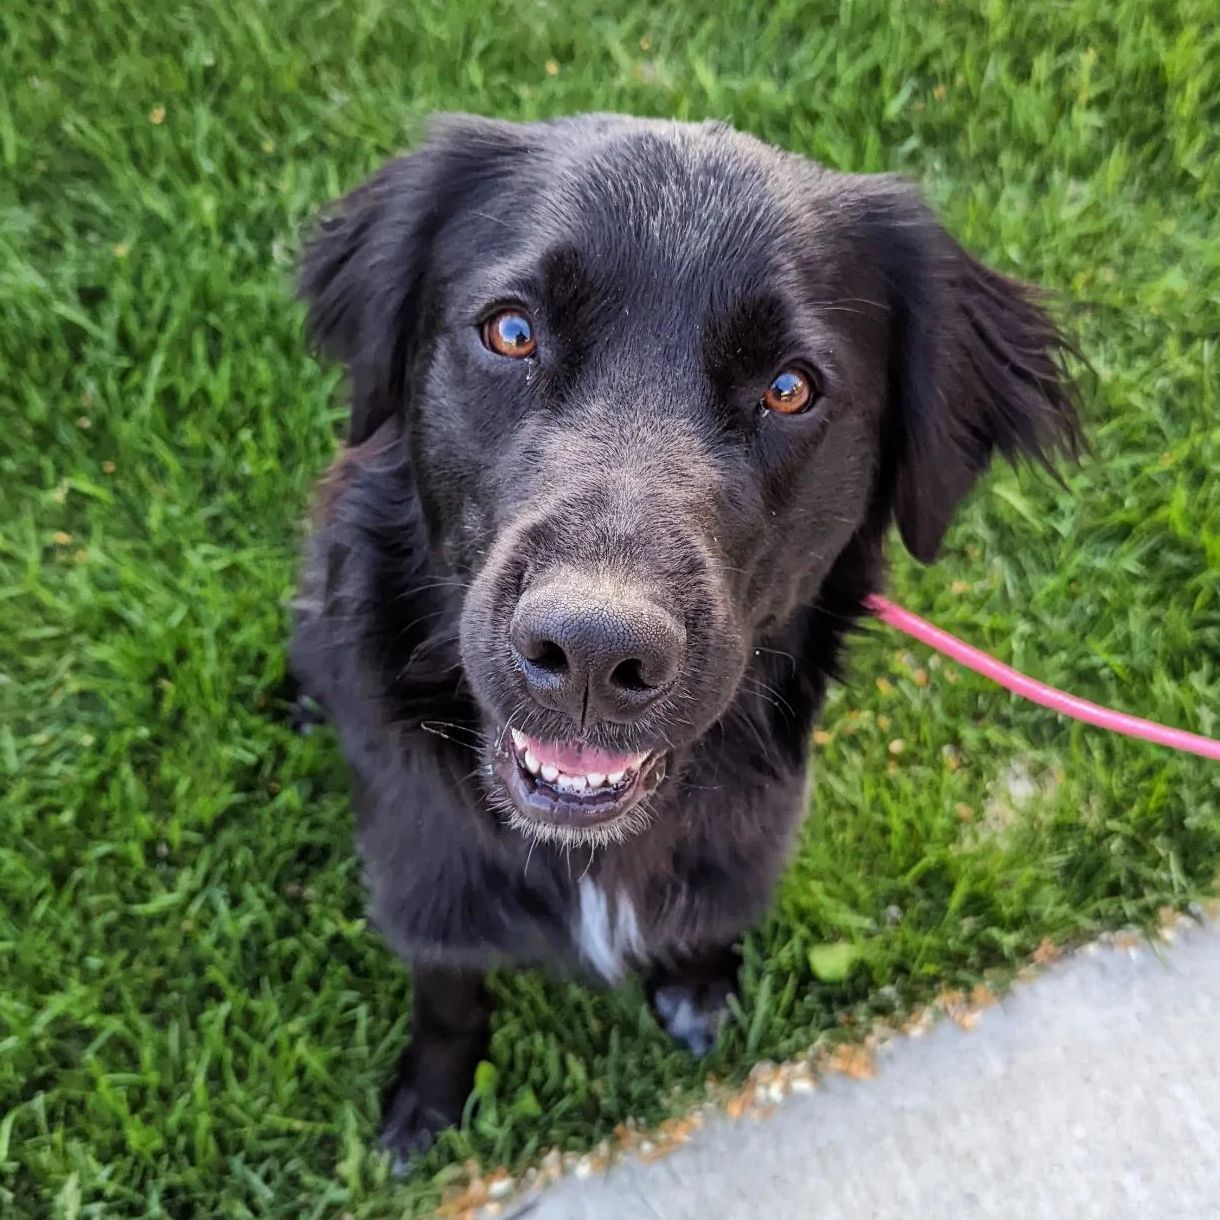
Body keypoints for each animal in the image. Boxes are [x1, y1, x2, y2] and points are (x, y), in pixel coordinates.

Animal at [290, 112, 1083, 1151]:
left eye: (789, 389)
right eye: (511, 331)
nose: (591, 654)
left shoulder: (748, 838)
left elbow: (707, 920)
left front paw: (699, 990)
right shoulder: (425, 868)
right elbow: (449, 992)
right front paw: (428, 1105)